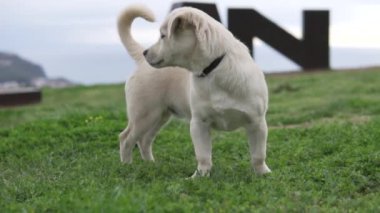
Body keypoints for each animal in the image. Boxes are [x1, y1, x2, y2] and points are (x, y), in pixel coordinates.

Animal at [119, 5, 270, 177]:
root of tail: (140, 61)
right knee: (126, 138)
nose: (145, 52)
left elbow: (258, 155)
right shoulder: (199, 124)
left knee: (144, 140)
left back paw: (150, 164)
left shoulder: (257, 122)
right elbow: (203, 155)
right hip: (143, 116)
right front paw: (200, 176)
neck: (212, 69)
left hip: (159, 116)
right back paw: (127, 166)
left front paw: (263, 173)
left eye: (163, 36)